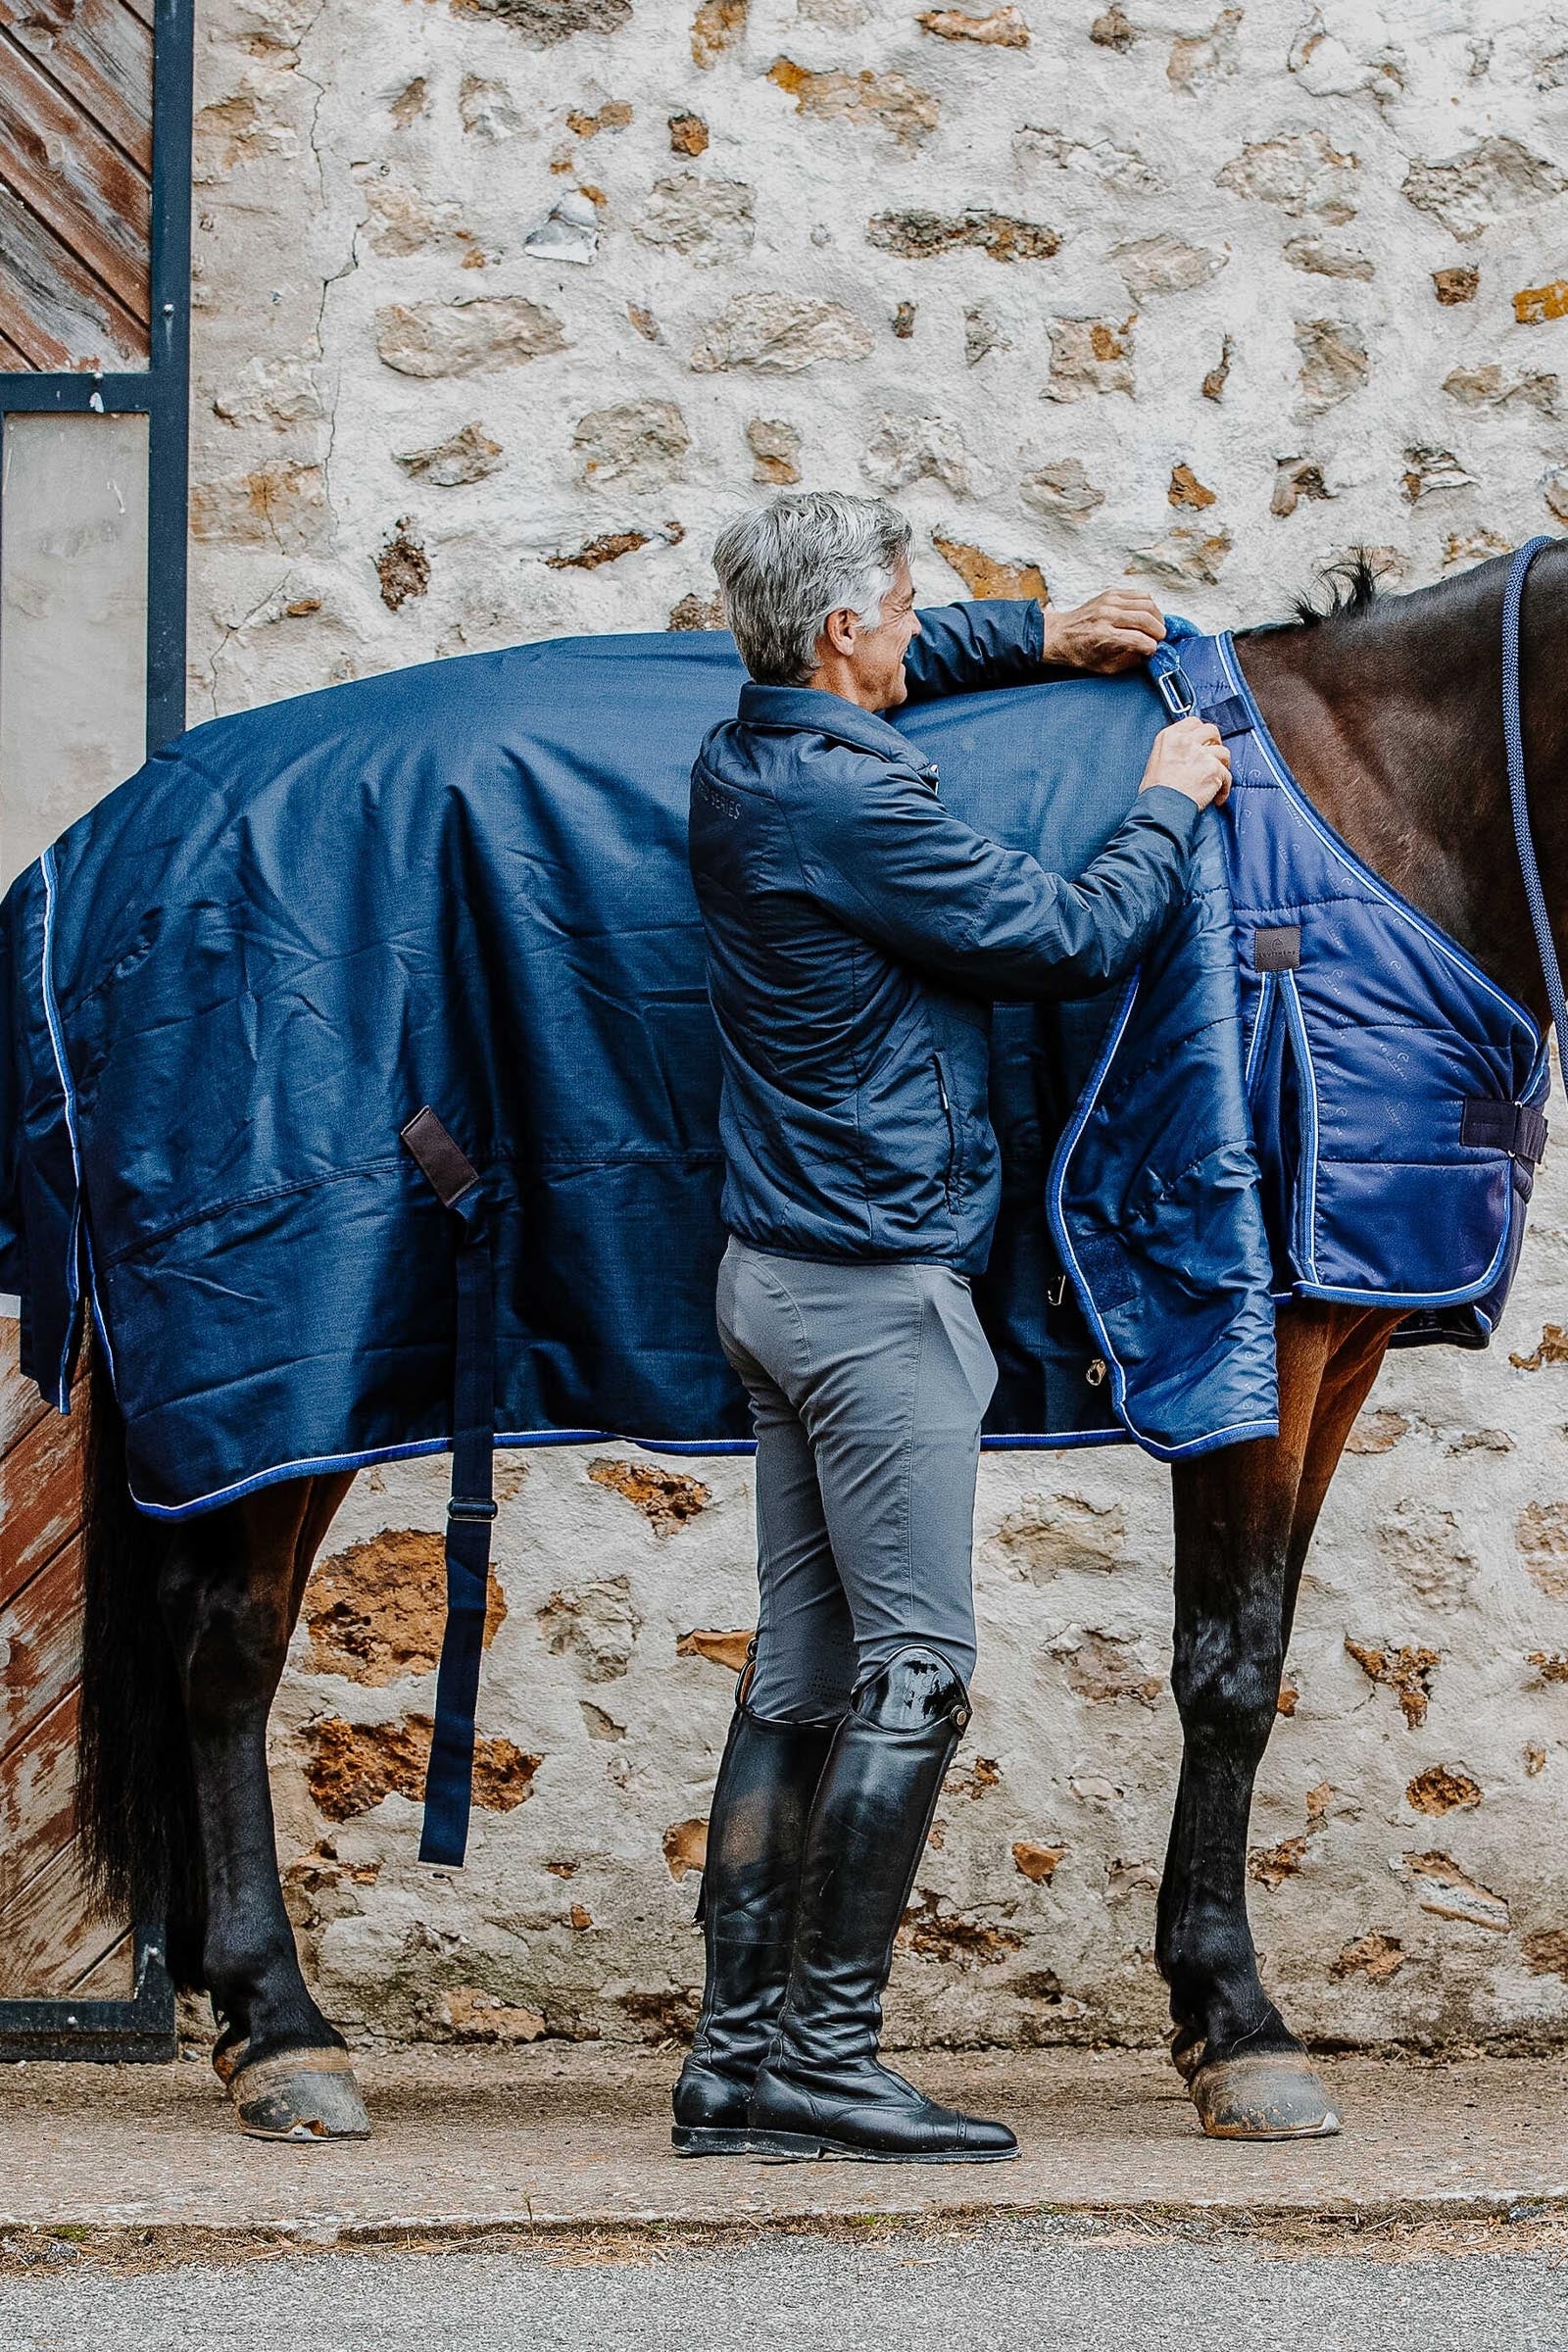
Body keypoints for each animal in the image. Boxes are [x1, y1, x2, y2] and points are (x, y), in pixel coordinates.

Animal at [68, 540, 1566, 2141]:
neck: (1379, 808)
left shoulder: (1335, 1352)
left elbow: (1262, 1651)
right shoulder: (1247, 1344)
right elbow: (1225, 1669)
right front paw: (1237, 2027)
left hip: (315, 1400)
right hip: (271, 1374)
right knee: (227, 1650)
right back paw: (285, 2033)